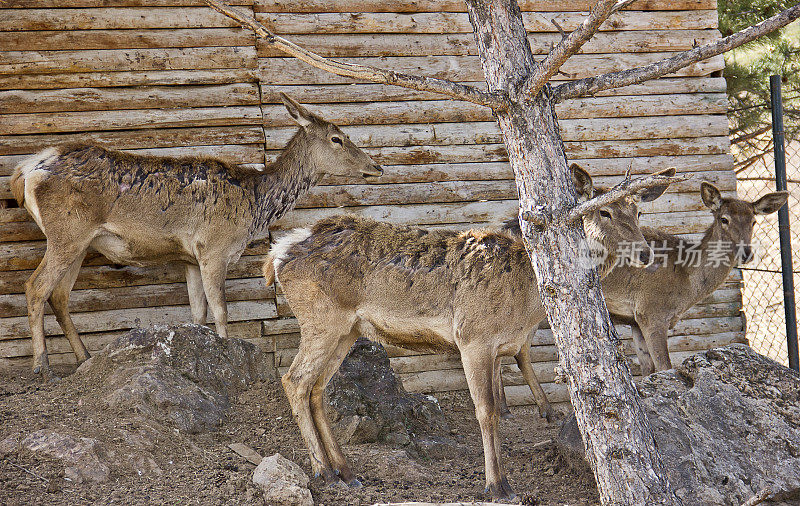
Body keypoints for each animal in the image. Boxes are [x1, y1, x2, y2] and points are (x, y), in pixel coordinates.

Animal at [8, 94, 384, 380]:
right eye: (337, 138)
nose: (376, 167)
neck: (255, 206)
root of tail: (25, 171)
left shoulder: (189, 258)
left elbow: (198, 314)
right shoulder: (214, 248)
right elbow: (221, 310)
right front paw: (228, 358)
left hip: (81, 243)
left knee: (59, 295)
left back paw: (85, 358)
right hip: (67, 232)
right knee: (36, 286)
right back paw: (42, 366)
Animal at [262, 164, 676, 500]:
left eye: (638, 210)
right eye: (603, 211)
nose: (645, 254)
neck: (527, 301)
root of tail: (276, 256)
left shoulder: (498, 346)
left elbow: (499, 408)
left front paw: (499, 479)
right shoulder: (473, 337)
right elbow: (487, 411)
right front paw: (498, 486)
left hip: (346, 330)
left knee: (317, 387)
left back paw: (345, 471)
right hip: (322, 320)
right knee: (294, 379)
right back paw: (324, 471)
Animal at [496, 182, 792, 420]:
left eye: (753, 221)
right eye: (724, 219)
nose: (746, 253)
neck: (686, 281)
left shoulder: (636, 320)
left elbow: (649, 370)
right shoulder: (653, 311)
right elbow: (665, 367)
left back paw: (506, 409)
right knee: (518, 350)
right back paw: (541, 410)